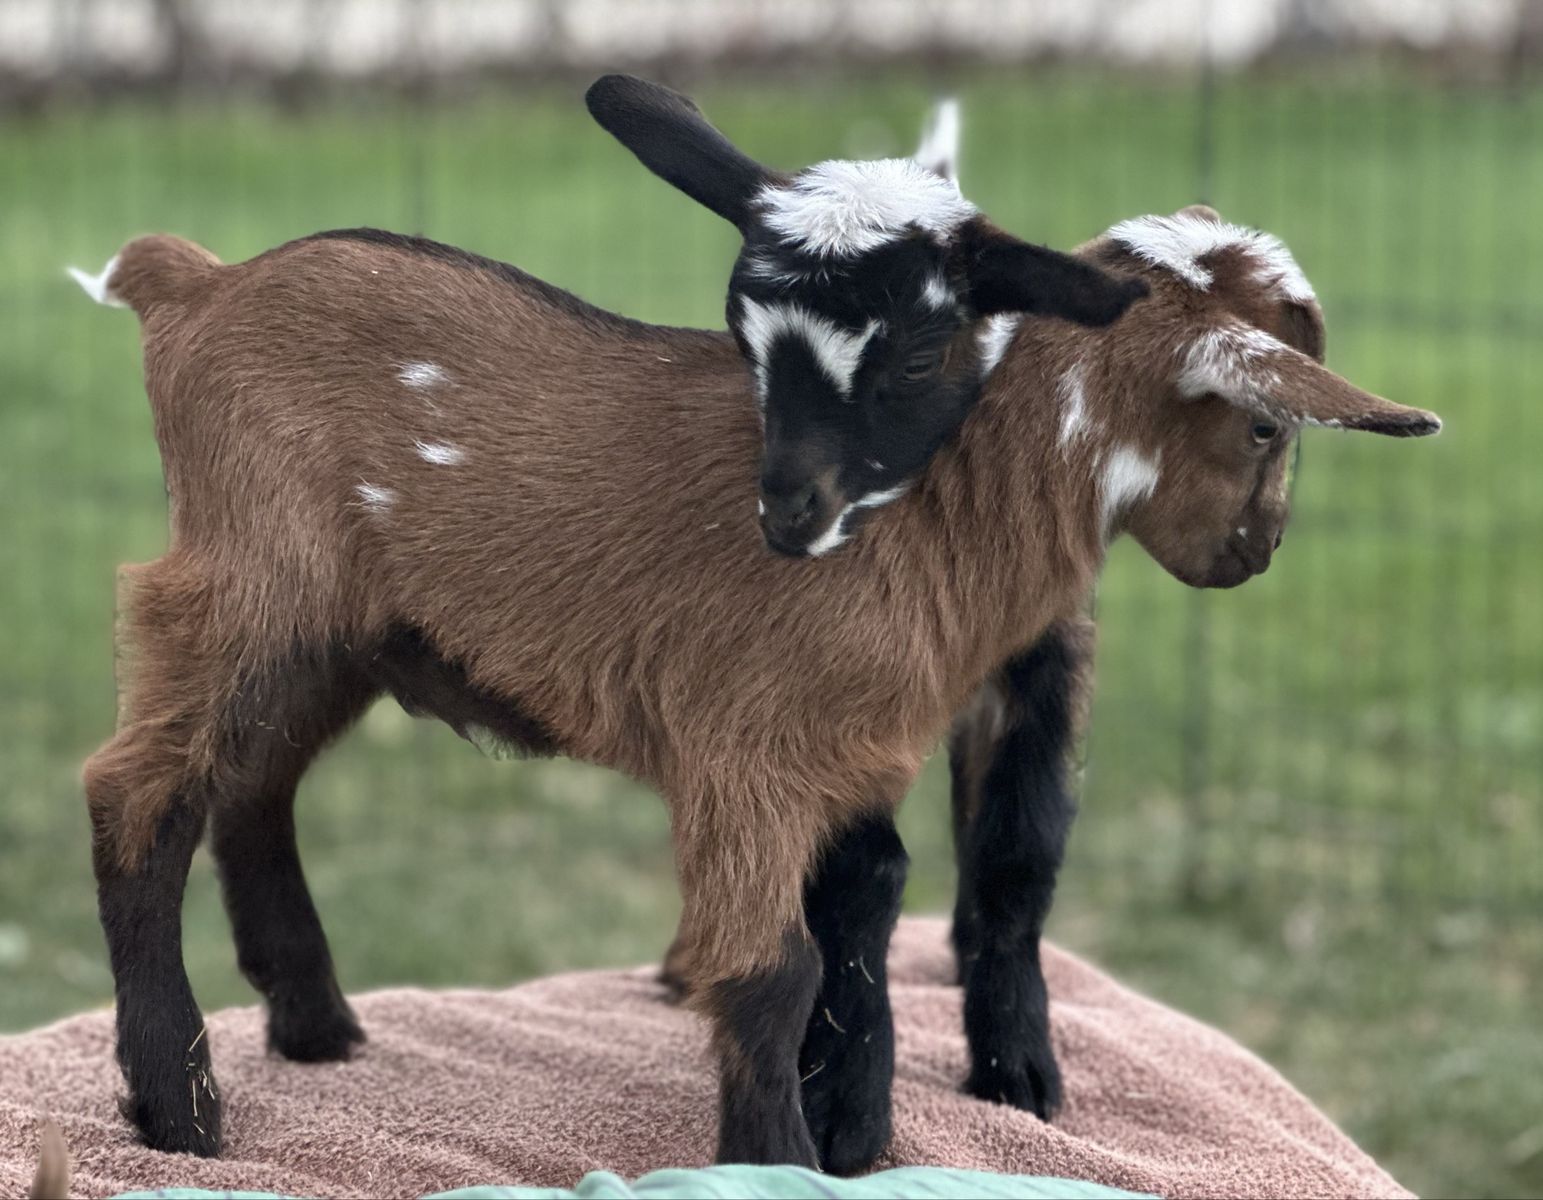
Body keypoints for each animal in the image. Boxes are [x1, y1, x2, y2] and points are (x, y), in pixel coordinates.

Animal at [70, 183, 1437, 1176]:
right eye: (1265, 425)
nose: (1255, 555)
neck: (941, 506)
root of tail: (195, 285)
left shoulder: (854, 757)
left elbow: (894, 897)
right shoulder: (748, 756)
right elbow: (773, 973)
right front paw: (776, 1158)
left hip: (338, 631)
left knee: (251, 779)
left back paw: (311, 1025)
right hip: (245, 579)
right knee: (136, 790)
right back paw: (178, 1108)